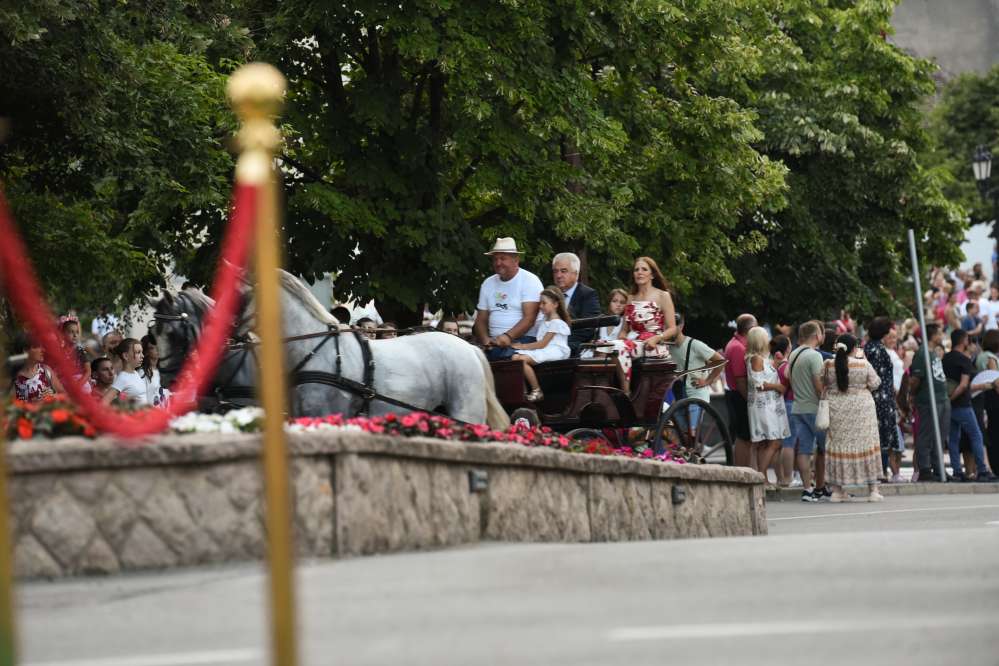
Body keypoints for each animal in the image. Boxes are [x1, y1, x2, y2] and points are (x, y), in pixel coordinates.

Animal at [152, 270, 512, 430]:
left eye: (172, 331)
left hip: (465, 413)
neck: (313, 350)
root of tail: (467, 346)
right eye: (154, 332)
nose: (167, 380)